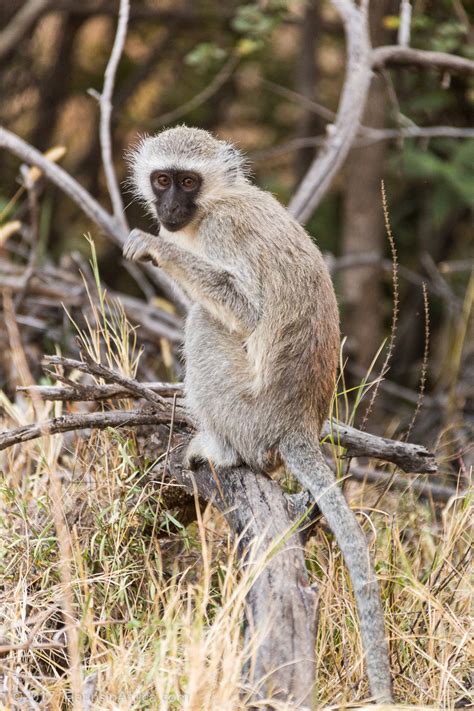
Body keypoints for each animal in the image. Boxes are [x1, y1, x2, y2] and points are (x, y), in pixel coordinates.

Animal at [125, 125, 392, 704]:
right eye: (162, 180)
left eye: (187, 182)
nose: (169, 209)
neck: (218, 201)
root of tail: (296, 424)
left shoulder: (222, 232)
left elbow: (247, 313)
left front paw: (157, 248)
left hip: (248, 413)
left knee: (205, 319)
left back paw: (222, 449)